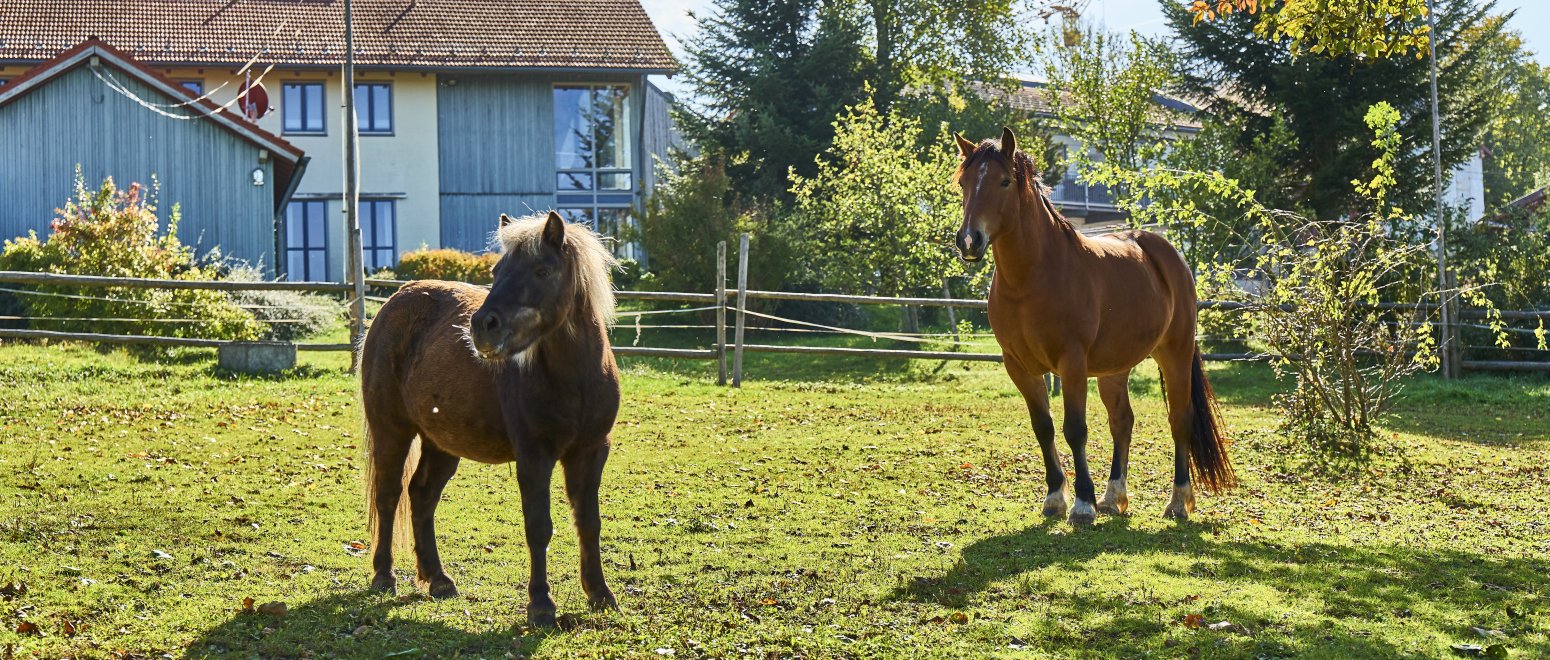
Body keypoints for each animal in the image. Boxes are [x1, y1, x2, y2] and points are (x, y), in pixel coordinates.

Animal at [362, 212, 623, 629]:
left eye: (542, 270)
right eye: (497, 271)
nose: (483, 325)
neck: (577, 378)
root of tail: (395, 301)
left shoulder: (592, 452)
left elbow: (589, 522)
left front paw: (600, 594)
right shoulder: (534, 456)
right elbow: (538, 527)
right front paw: (541, 605)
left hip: (441, 443)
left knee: (422, 495)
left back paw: (438, 580)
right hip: (392, 431)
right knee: (389, 495)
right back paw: (384, 577)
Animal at [942, 126, 1233, 523]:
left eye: (1003, 181)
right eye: (964, 182)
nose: (969, 240)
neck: (1031, 279)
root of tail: (1168, 254)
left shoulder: (1072, 363)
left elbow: (1075, 430)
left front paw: (1082, 504)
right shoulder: (1019, 367)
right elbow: (1043, 427)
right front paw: (1054, 497)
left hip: (1174, 352)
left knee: (1179, 419)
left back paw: (1178, 501)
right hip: (1115, 367)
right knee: (1122, 421)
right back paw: (1114, 497)